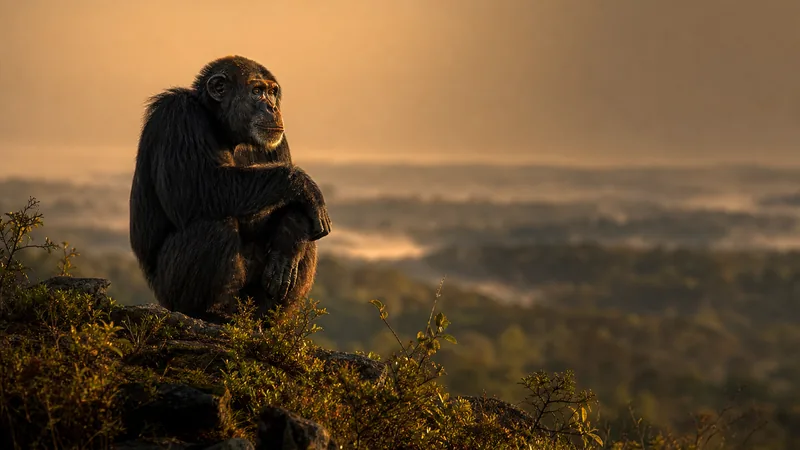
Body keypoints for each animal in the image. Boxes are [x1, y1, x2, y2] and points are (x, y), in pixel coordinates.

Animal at [129, 55, 331, 322]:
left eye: (272, 92)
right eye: (257, 91)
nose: (272, 107)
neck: (224, 129)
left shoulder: (280, 141)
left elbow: (295, 212)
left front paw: (292, 235)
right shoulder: (177, 115)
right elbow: (198, 186)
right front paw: (307, 187)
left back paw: (269, 319)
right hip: (170, 295)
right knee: (215, 224)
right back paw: (210, 312)